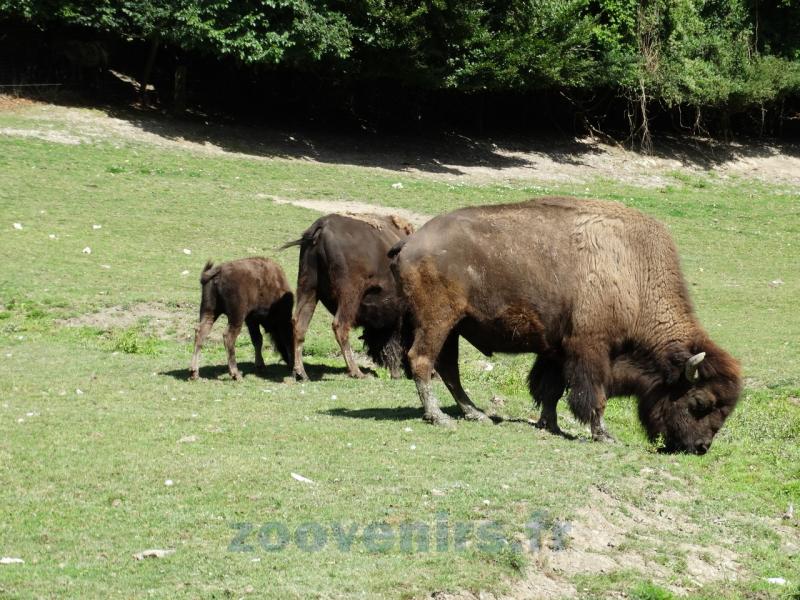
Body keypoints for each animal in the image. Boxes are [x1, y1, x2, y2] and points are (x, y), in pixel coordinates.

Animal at [281, 213, 414, 380]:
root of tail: (322, 226)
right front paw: (395, 374)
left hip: (308, 287)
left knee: (299, 324)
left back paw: (300, 373)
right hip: (349, 295)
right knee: (340, 326)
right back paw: (357, 372)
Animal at [389, 197, 741, 454]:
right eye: (700, 403)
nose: (700, 447)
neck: (634, 272)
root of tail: (411, 242)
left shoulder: (556, 351)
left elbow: (551, 389)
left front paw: (551, 425)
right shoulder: (590, 348)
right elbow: (593, 396)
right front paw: (603, 435)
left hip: (454, 328)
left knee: (448, 368)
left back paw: (475, 414)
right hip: (437, 321)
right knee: (422, 360)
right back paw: (439, 417)